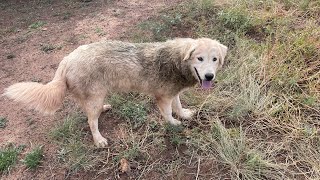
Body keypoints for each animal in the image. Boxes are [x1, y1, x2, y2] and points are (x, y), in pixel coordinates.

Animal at [3, 38, 228, 148]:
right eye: (200, 58)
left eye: (214, 59)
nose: (209, 76)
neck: (177, 60)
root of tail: (67, 59)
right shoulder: (162, 97)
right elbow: (168, 114)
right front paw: (174, 124)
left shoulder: (173, 93)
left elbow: (179, 106)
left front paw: (184, 115)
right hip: (95, 97)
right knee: (91, 122)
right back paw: (99, 140)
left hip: (93, 97)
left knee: (88, 112)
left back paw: (103, 110)